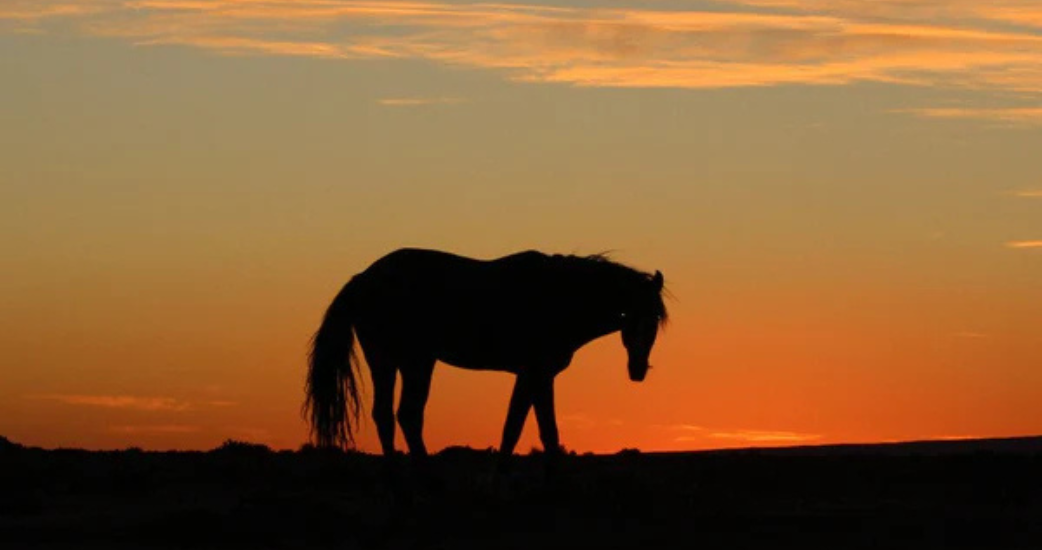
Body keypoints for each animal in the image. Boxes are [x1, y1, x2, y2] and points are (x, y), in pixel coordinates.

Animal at [303, 248, 668, 476]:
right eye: (631, 318)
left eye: (655, 323)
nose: (638, 371)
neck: (556, 295)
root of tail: (363, 278)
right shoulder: (537, 373)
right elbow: (533, 428)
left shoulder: (534, 375)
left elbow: (526, 427)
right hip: (415, 361)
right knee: (407, 414)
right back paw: (427, 484)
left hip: (389, 361)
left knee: (387, 416)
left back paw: (399, 484)